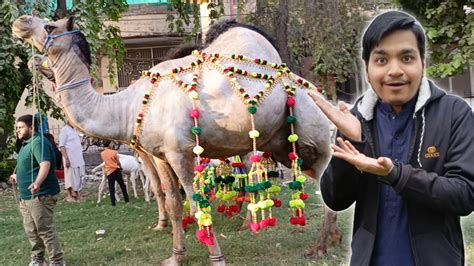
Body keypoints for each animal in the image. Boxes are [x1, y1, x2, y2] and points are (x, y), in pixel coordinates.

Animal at [12, 16, 338, 264]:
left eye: (50, 25)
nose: (20, 21)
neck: (128, 106)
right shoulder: (159, 154)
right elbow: (172, 202)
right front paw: (175, 256)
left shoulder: (180, 152)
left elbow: (195, 203)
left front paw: (216, 258)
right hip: (283, 146)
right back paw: (327, 238)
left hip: (316, 135)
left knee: (326, 179)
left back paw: (320, 247)